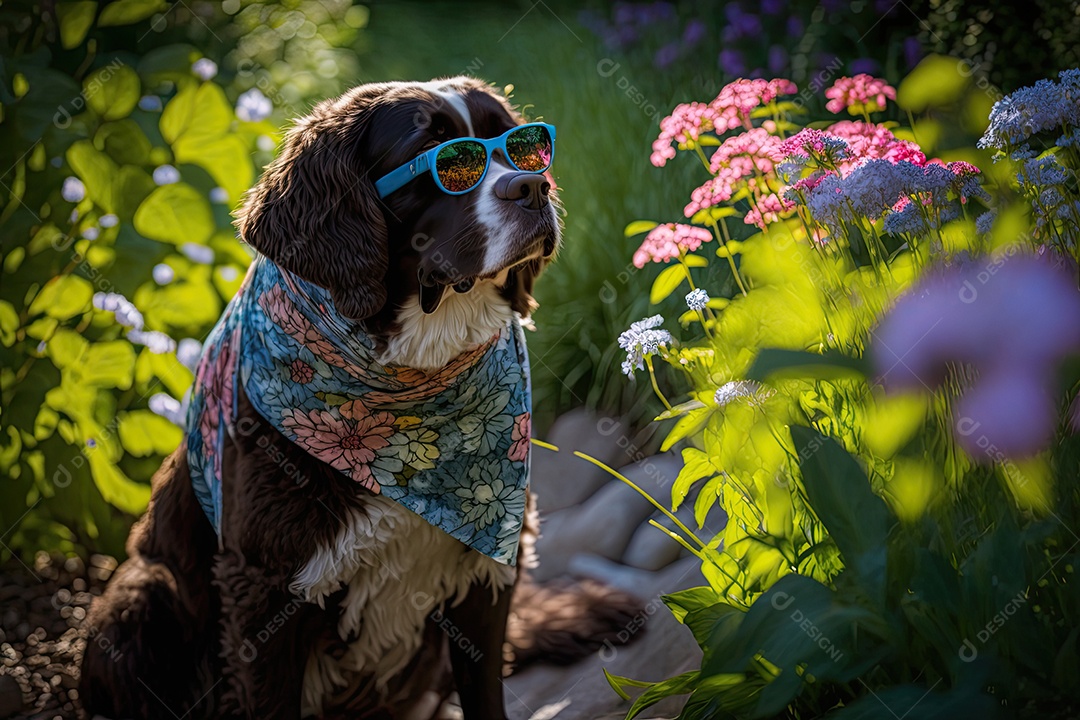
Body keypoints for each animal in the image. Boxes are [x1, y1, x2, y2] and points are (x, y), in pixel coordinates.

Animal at [82, 78, 639, 720]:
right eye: (441, 158)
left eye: (524, 147)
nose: (533, 187)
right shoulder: (263, 593)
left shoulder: (485, 572)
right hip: (136, 603)